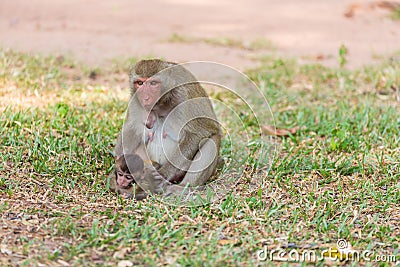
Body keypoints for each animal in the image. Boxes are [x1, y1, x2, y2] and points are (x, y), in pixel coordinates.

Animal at [113, 59, 222, 197]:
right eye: (140, 83)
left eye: (153, 83)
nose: (146, 98)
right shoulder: (135, 99)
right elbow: (130, 132)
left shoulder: (184, 94)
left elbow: (201, 131)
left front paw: (164, 173)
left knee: (212, 139)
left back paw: (182, 187)